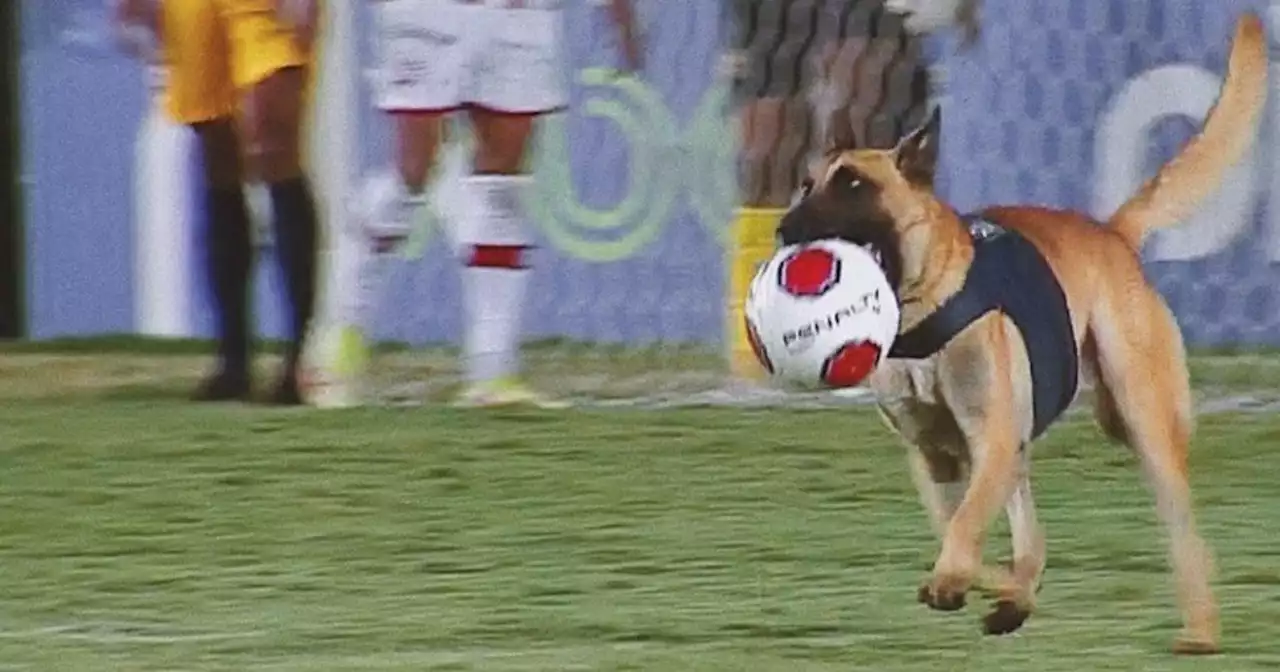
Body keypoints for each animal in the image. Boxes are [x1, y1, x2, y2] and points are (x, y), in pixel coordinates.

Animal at [773, 13, 1264, 652]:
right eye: (808, 186)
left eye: (854, 185)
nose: (783, 229)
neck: (924, 310)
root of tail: (1110, 233)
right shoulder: (936, 456)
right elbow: (963, 529)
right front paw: (995, 587)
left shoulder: (992, 438)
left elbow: (968, 526)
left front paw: (960, 582)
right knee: (1031, 530)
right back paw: (1019, 594)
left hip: (1142, 419)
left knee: (1185, 533)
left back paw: (1200, 629)